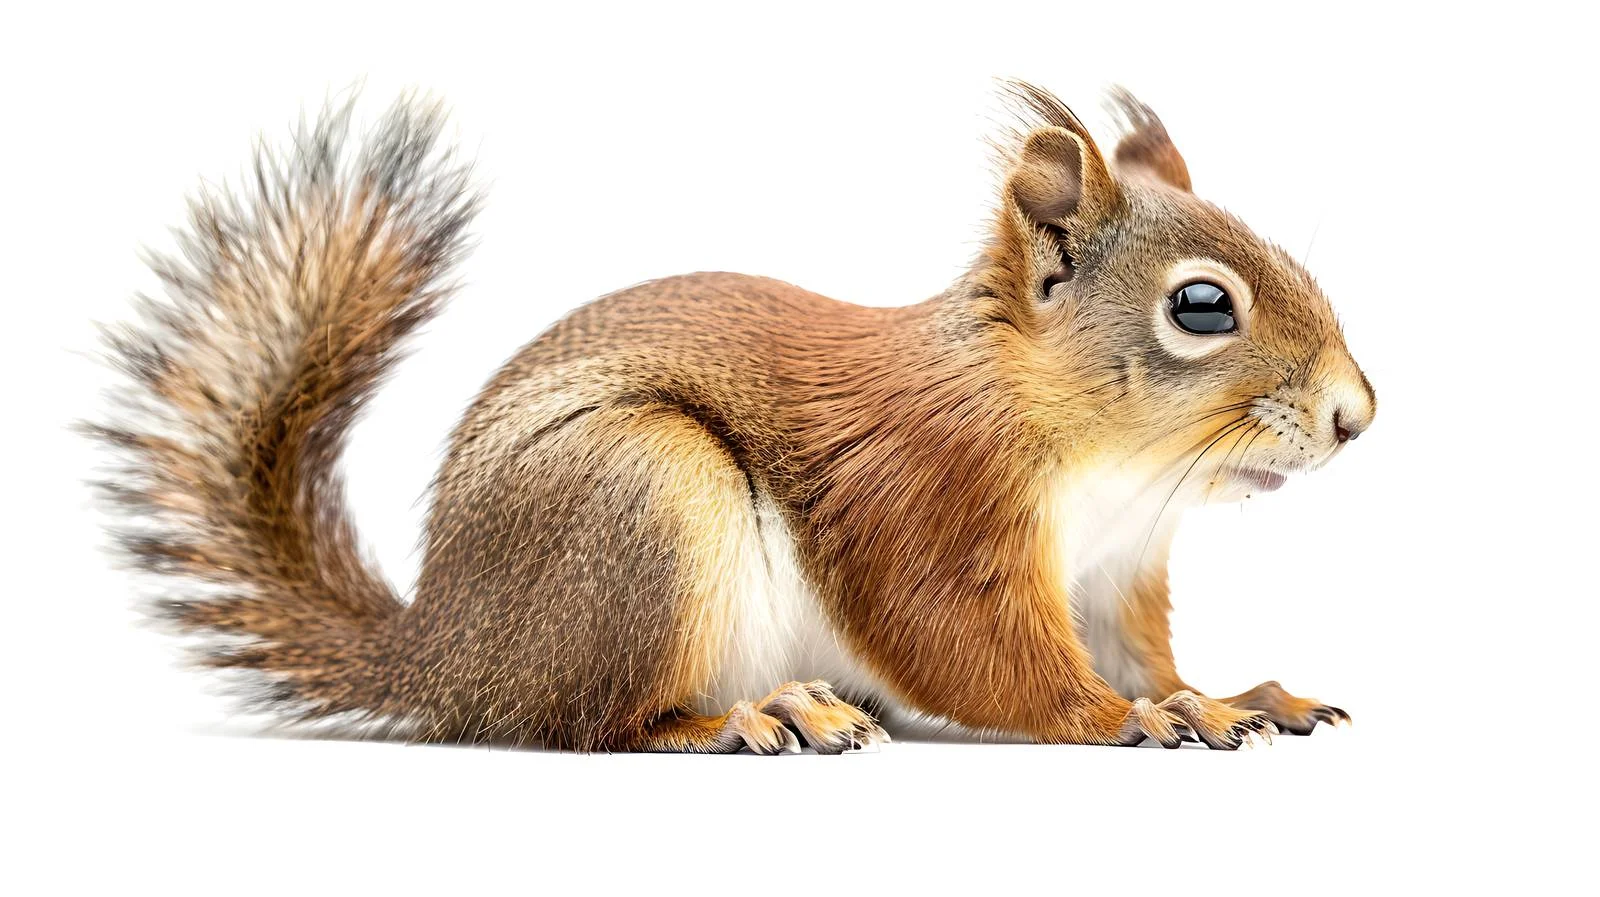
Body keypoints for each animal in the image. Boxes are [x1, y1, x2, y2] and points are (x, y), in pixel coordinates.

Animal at [89, 82, 1374, 753]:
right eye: (1201, 306)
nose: (1356, 416)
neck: (1112, 469)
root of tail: (449, 655)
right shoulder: (927, 497)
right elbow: (971, 649)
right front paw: (1126, 719)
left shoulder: (1111, 573)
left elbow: (1139, 649)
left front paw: (1228, 695)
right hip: (645, 495)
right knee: (592, 723)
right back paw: (751, 721)